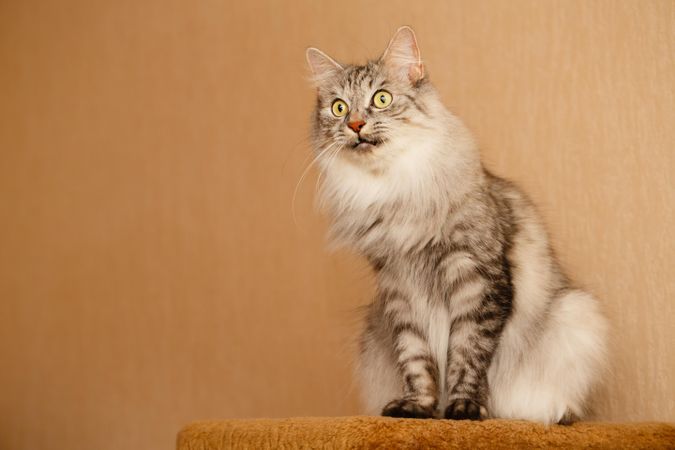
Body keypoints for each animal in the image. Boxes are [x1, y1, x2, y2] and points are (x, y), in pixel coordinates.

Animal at [306, 26, 608, 424]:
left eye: (382, 99)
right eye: (339, 107)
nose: (355, 125)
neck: (394, 189)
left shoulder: (475, 276)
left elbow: (467, 354)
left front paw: (464, 409)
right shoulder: (399, 286)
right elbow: (416, 359)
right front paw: (418, 408)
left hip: (576, 313)